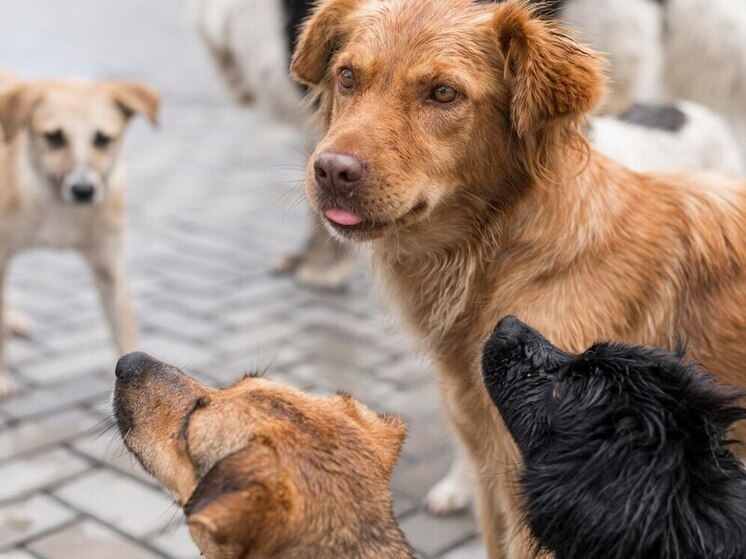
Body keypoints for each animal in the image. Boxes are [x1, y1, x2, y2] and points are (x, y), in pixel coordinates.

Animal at [0, 72, 157, 398]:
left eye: (103, 139)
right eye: (54, 137)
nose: (83, 190)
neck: (57, 205)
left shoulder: (109, 266)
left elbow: (125, 330)